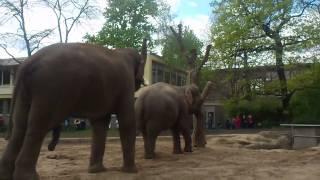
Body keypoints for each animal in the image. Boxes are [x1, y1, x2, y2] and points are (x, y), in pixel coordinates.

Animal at [0, 40, 148, 180]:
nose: (51, 148)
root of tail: (27, 63)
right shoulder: (126, 84)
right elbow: (127, 121)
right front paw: (131, 171)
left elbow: (100, 124)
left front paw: (96, 171)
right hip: (49, 89)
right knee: (37, 127)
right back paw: (29, 177)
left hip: (26, 92)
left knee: (20, 127)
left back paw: (7, 175)